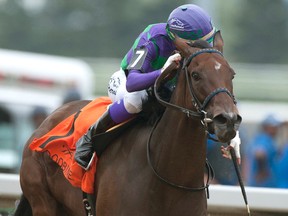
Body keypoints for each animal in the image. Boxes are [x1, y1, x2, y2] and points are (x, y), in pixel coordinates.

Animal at [14, 31, 242, 215]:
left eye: (231, 74)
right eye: (196, 75)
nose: (228, 120)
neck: (169, 177)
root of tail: (46, 122)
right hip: (42, 200)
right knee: (132, 101)